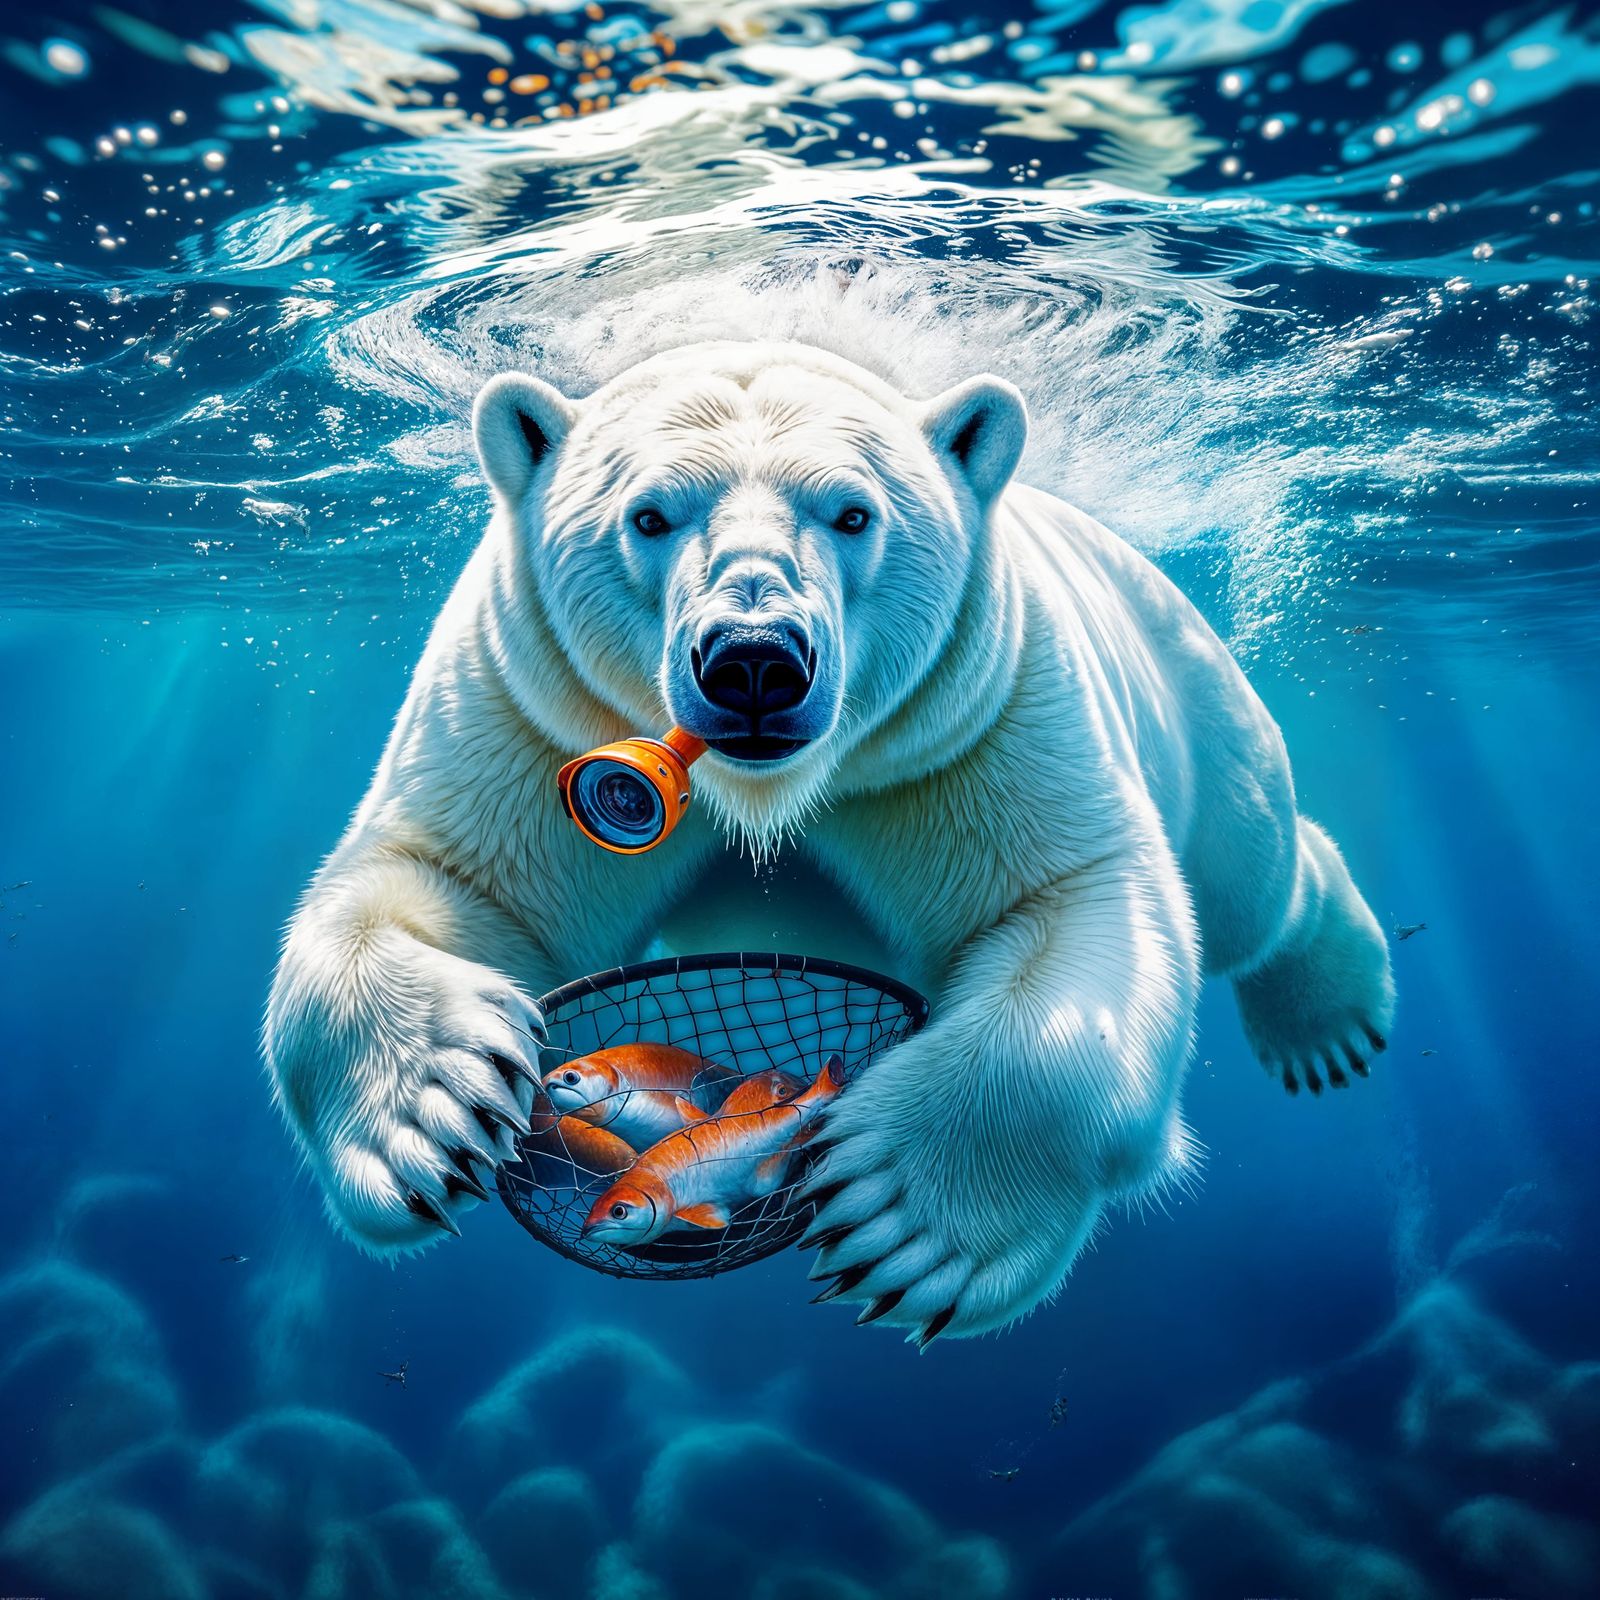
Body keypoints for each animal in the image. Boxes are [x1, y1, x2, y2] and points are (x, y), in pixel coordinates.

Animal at [263, 340, 1394, 1343]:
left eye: (853, 513)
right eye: (648, 515)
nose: (754, 661)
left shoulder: (969, 720)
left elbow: (1073, 900)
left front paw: (905, 1216)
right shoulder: (535, 704)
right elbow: (442, 880)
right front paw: (430, 1110)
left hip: (1184, 680)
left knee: (1248, 878)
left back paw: (1327, 1017)